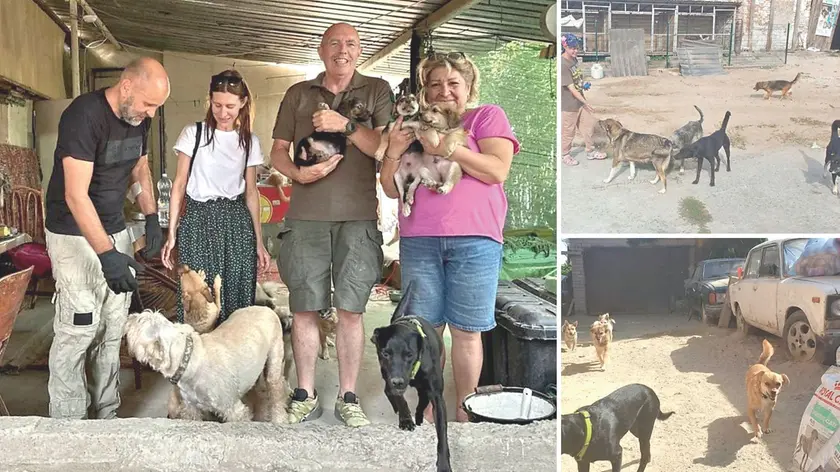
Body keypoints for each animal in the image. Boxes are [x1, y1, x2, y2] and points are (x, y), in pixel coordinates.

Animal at [124, 306, 288, 424]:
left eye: (140, 322)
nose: (128, 317)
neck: (188, 359)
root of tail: (267, 308)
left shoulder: (233, 409)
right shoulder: (191, 408)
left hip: (274, 366)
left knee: (277, 395)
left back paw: (279, 419)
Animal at [370, 280, 450, 472]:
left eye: (409, 354)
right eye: (385, 353)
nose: (398, 382)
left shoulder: (436, 396)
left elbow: (442, 435)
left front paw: (444, 464)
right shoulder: (390, 377)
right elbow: (400, 399)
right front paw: (406, 419)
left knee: (421, 402)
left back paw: (419, 416)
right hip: (385, 374)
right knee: (388, 391)